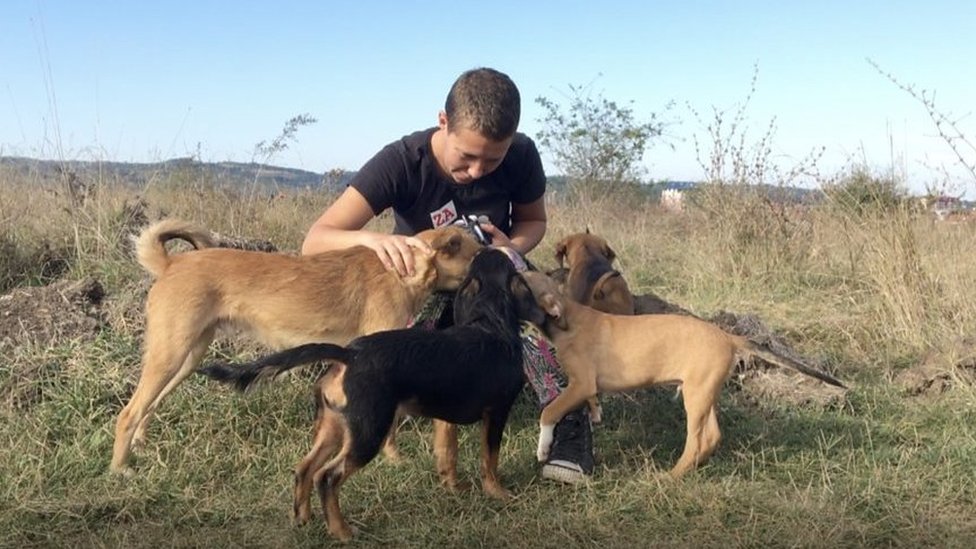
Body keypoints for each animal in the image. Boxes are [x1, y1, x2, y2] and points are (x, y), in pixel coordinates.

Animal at [110, 218, 481, 476]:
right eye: (478, 256)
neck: (402, 270)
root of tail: (171, 263)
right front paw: (393, 460)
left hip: (186, 357)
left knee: (150, 405)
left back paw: (141, 446)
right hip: (170, 355)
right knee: (128, 413)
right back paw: (120, 468)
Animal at [198, 248, 543, 541]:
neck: (490, 323)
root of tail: (349, 354)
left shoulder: (445, 417)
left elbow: (447, 453)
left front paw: (453, 488)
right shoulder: (497, 412)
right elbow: (490, 459)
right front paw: (498, 493)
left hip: (335, 427)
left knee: (305, 469)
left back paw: (304, 518)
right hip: (367, 434)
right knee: (327, 477)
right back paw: (341, 531)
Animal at [521, 271, 846, 478]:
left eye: (519, 280)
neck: (567, 319)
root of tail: (729, 337)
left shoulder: (581, 383)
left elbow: (549, 412)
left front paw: (543, 449)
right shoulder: (584, 387)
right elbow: (587, 404)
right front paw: (595, 412)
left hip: (695, 397)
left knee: (696, 441)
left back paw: (672, 475)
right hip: (704, 392)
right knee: (712, 436)